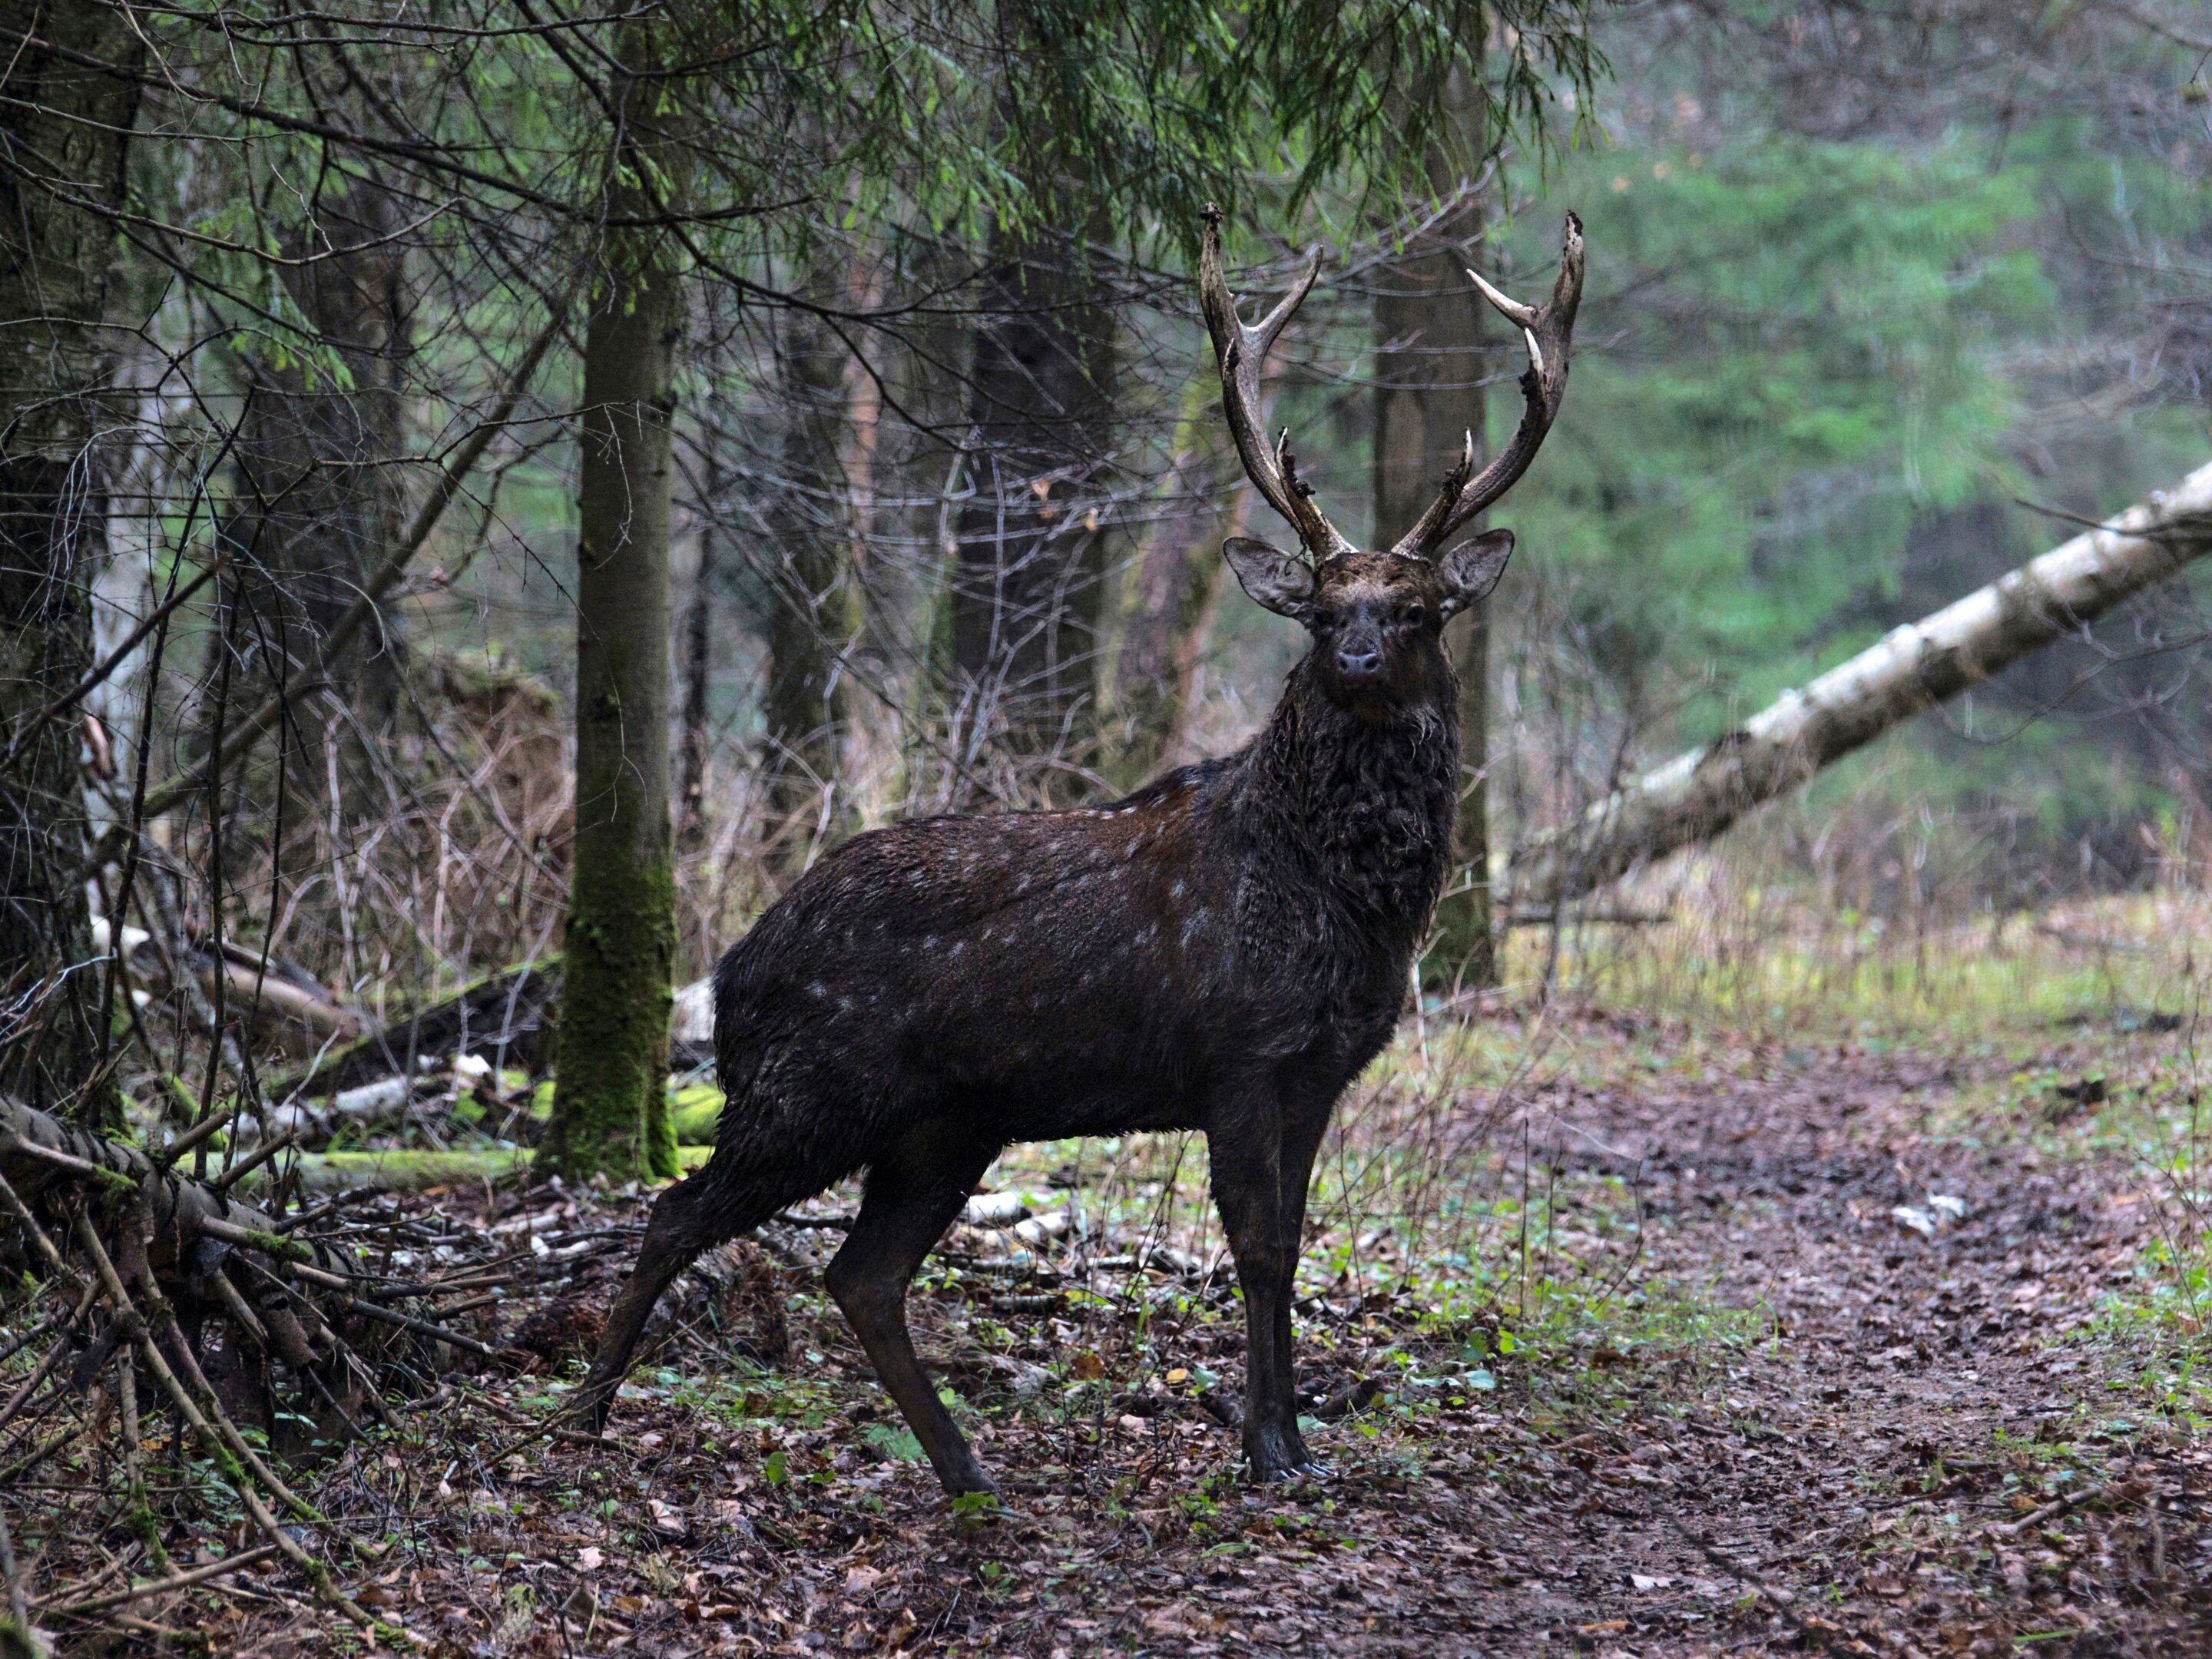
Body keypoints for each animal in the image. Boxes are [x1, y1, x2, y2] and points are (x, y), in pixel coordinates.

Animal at [579, 207, 1584, 1495]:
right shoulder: (1238, 1056)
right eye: (1320, 608)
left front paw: (1298, 1442)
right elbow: (1256, 1248)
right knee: (678, 1212)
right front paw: (1265, 1449)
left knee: (860, 1274)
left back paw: (969, 1471)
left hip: (947, 1121)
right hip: (811, 1088)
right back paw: (582, 1419)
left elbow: (1293, 1241)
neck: (1339, 903)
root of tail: (732, 970)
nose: (1356, 658)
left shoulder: (1323, 1070)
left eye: (1414, 612)